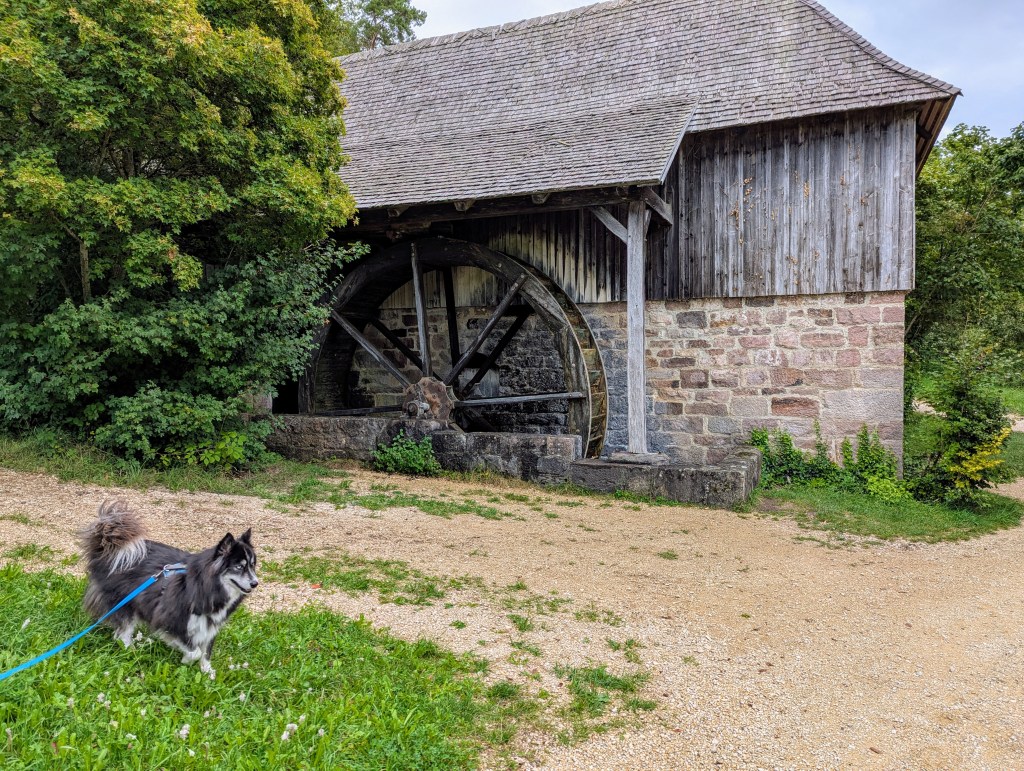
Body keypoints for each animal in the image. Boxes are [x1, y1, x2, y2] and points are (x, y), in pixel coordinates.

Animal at [80, 500, 258, 677]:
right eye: (239, 567)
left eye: (252, 566)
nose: (255, 583)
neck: (206, 586)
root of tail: (106, 549)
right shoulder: (170, 620)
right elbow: (195, 651)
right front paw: (187, 660)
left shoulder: (209, 625)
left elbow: (206, 652)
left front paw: (207, 672)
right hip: (124, 603)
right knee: (122, 633)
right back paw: (131, 651)